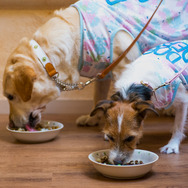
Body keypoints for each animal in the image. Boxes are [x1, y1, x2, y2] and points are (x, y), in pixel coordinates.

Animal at [2, 0, 187, 131]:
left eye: (10, 97)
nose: (11, 125)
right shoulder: (103, 72)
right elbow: (98, 97)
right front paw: (94, 117)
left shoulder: (123, 68)